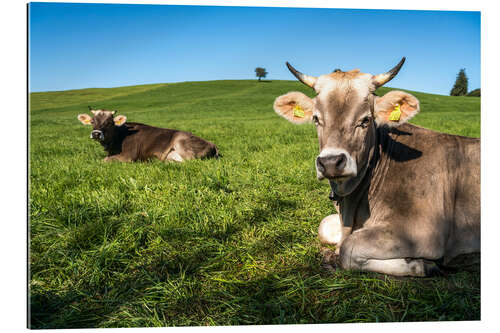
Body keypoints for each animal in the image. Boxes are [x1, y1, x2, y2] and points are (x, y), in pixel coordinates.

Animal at [77, 107, 219, 162]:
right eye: (92, 121)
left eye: (109, 122)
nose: (96, 133)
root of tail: (212, 144)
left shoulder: (128, 156)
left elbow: (103, 161)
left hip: (181, 142)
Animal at [274, 58, 480, 276]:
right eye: (315, 119)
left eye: (365, 120)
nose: (330, 163)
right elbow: (324, 226)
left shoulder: (424, 232)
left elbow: (348, 249)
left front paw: (421, 264)